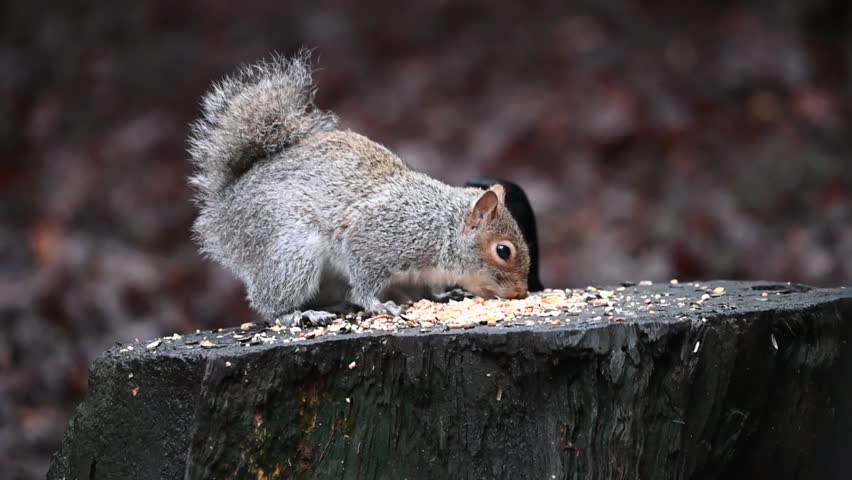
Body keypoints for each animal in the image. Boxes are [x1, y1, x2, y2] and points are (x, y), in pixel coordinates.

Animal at [188, 52, 530, 325]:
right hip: (290, 248)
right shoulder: (381, 235)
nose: (520, 293)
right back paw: (298, 314)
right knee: (270, 301)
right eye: (503, 250)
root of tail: (221, 209)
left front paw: (445, 294)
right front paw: (377, 304)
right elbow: (364, 275)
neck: (441, 228)